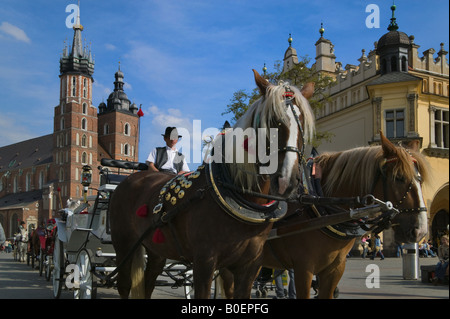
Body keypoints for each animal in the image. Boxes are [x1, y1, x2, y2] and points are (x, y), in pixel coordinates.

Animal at [110, 69, 316, 298]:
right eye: (272, 120)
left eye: (302, 124)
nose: (286, 180)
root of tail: (131, 179)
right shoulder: (205, 263)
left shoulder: (250, 266)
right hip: (124, 244)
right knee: (124, 284)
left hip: (156, 249)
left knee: (148, 281)